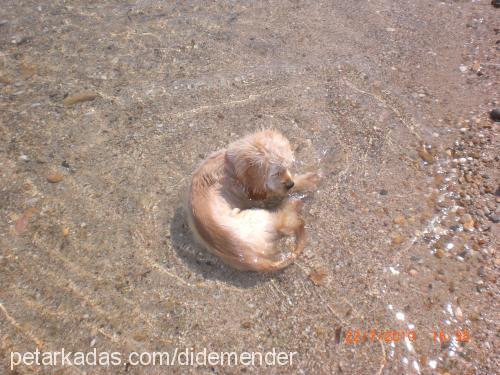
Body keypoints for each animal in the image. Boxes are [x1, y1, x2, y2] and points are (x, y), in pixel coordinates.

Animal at [186, 129, 318, 270]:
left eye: (288, 167)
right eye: (276, 173)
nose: (290, 184)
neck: (230, 166)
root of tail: (254, 259)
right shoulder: (258, 196)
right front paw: (309, 179)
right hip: (260, 215)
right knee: (290, 222)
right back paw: (294, 204)